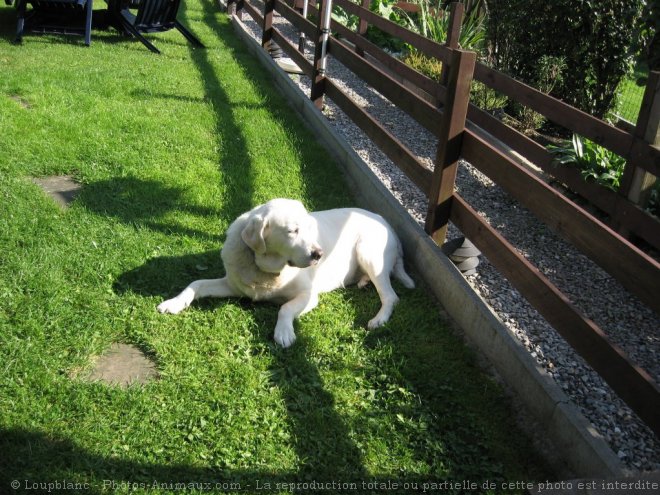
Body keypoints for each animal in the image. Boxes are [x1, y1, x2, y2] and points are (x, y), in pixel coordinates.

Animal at [157, 200, 416, 346]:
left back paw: (378, 319)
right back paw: (362, 282)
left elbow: (285, 308)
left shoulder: (309, 296)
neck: (267, 269)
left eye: (310, 229)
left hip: (368, 253)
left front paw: (283, 333)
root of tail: (386, 221)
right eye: (293, 231)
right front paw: (173, 303)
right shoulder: (232, 284)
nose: (319, 254)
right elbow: (196, 282)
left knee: (391, 296)